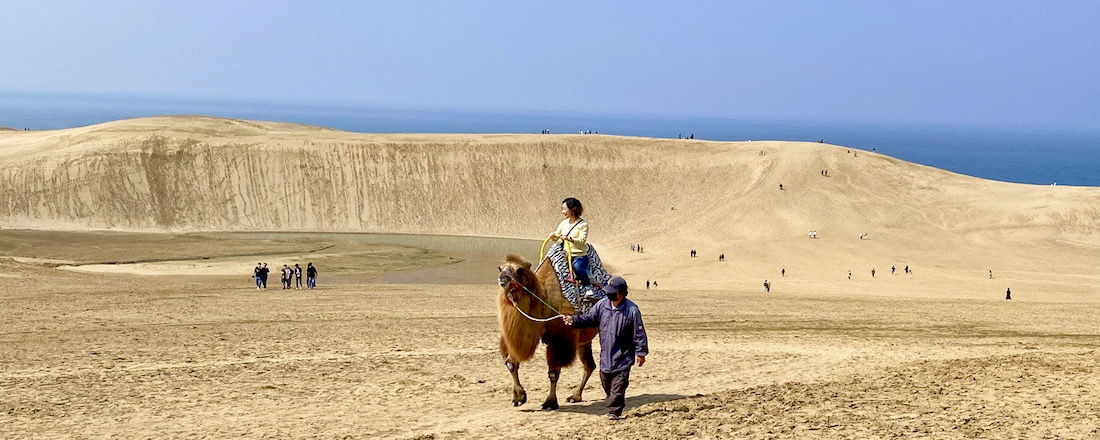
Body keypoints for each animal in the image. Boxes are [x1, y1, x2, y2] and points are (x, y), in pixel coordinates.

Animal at [501, 254, 602, 409]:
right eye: (500, 268)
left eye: (519, 270)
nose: (502, 279)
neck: (545, 301)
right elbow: (511, 363)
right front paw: (518, 398)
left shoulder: (561, 338)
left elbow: (553, 372)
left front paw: (550, 402)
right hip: (584, 339)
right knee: (589, 365)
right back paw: (575, 396)